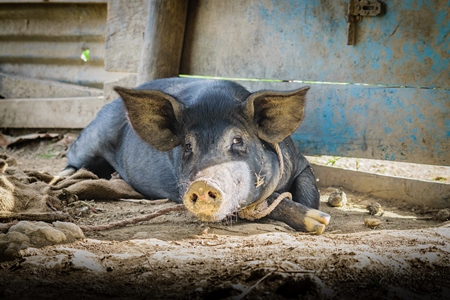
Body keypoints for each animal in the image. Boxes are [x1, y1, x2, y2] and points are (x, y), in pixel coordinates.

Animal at [62, 77, 330, 234]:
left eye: (238, 140)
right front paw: (319, 222)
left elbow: (310, 192)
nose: (202, 184)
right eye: (188, 145)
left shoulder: (302, 164)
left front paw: (322, 221)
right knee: (72, 159)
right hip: (91, 139)